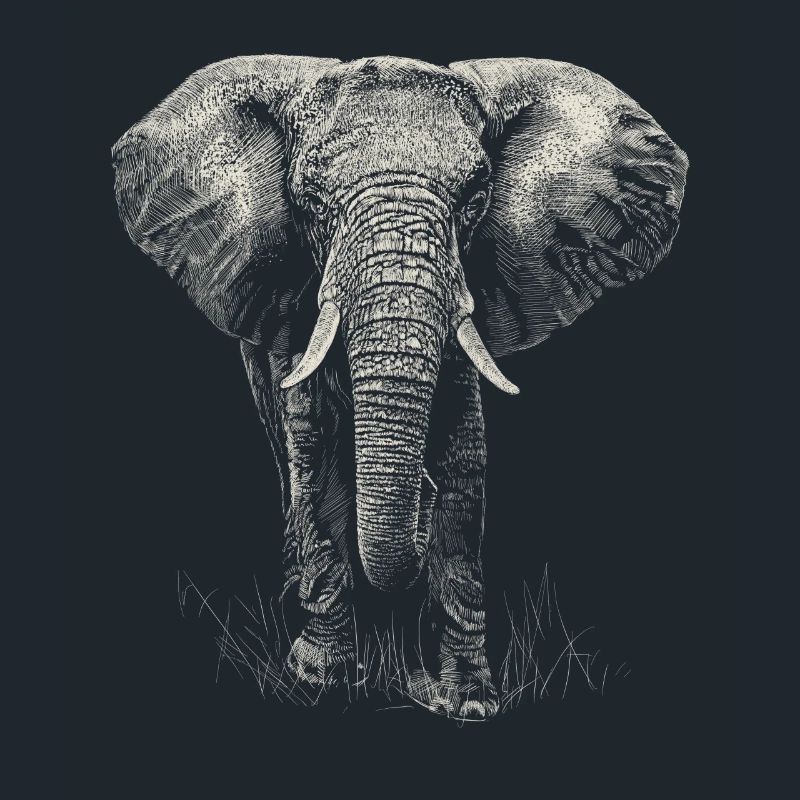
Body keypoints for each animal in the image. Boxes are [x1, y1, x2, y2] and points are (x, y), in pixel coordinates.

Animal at [113, 55, 687, 719]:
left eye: (476, 197)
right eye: (310, 201)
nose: (419, 501)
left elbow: (465, 456)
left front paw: (465, 700)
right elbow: (313, 445)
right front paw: (322, 681)